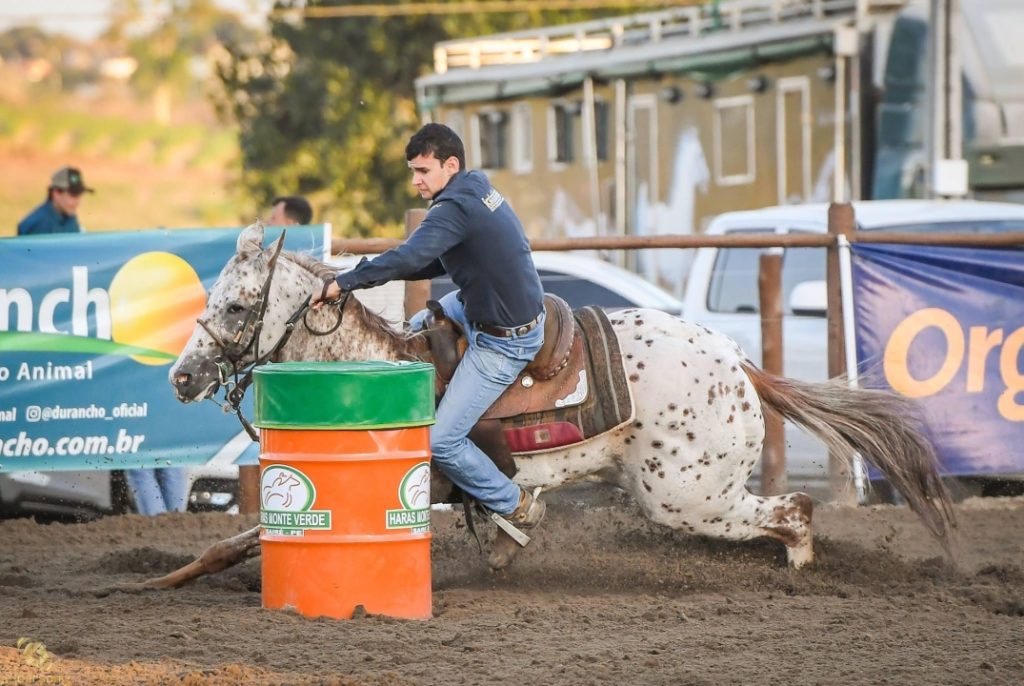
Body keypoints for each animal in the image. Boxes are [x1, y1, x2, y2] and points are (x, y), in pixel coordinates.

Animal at [163, 225, 954, 573]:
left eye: (238, 306)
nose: (180, 378)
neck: (377, 359)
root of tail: (738, 363)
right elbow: (233, 542)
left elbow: (236, 541)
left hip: (688, 496)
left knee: (795, 510)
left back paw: (799, 569)